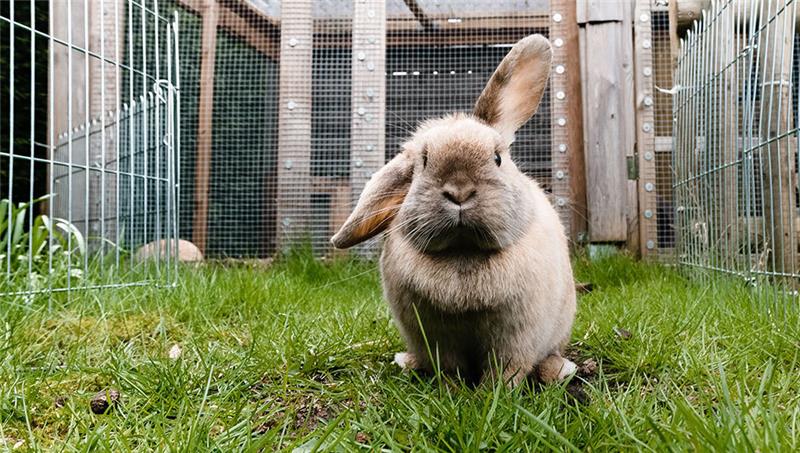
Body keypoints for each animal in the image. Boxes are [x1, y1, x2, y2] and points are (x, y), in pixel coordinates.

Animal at [332, 35, 576, 386]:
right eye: (423, 162)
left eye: (498, 158)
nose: (459, 192)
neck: (463, 253)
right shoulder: (436, 339)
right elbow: (449, 368)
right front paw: (454, 390)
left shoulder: (515, 340)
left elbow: (506, 370)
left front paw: (493, 393)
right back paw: (407, 362)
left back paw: (560, 370)